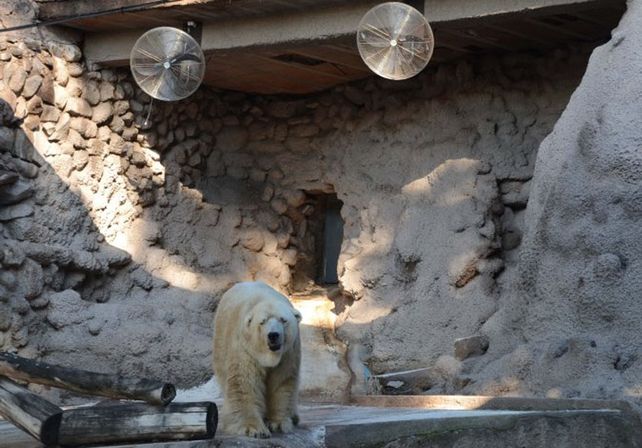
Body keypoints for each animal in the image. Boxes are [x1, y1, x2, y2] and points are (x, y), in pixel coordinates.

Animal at [212, 281, 302, 438]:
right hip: (220, 343)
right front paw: (253, 428)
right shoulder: (246, 347)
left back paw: (294, 417)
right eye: (262, 322)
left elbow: (282, 382)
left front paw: (278, 423)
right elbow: (245, 383)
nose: (273, 335)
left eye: (283, 320)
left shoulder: (288, 352)